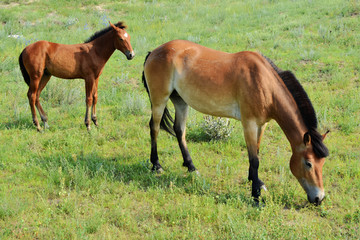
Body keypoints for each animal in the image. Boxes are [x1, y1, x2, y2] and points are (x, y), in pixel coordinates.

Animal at [143, 39, 330, 204]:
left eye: (322, 163)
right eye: (308, 163)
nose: (319, 198)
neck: (263, 83)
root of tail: (154, 51)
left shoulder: (262, 124)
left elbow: (257, 151)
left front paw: (256, 182)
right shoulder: (249, 124)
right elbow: (254, 160)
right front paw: (255, 196)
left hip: (181, 101)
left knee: (179, 131)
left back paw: (191, 167)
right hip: (160, 100)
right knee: (154, 128)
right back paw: (156, 165)